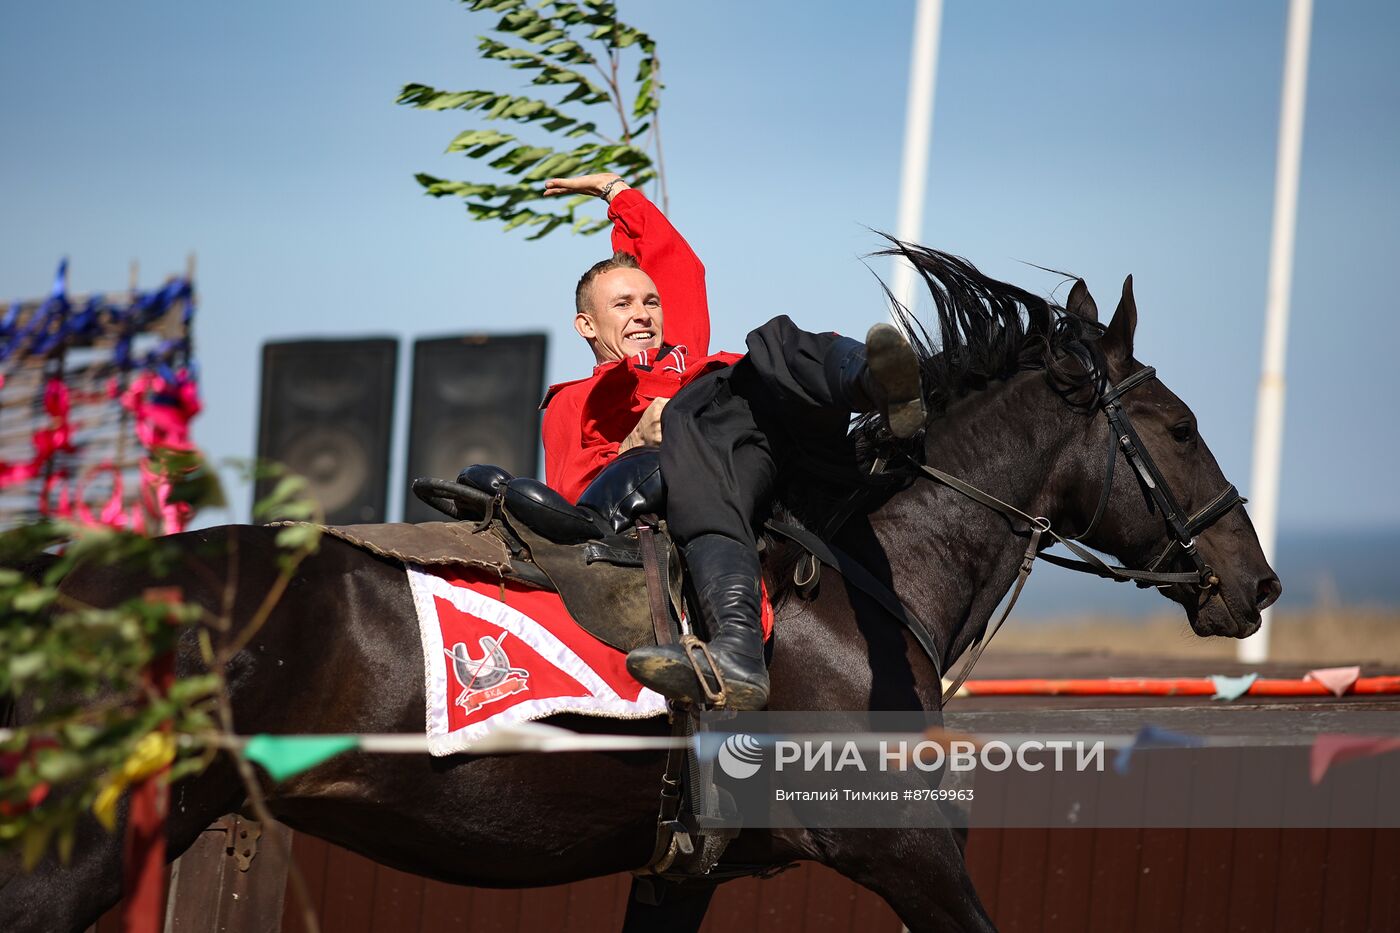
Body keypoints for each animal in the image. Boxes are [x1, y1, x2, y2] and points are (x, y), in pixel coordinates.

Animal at [0, 249, 1282, 930]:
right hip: (71, 852)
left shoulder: (679, 875)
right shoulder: (904, 848)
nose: (1254, 580)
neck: (861, 579)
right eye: (1177, 428)